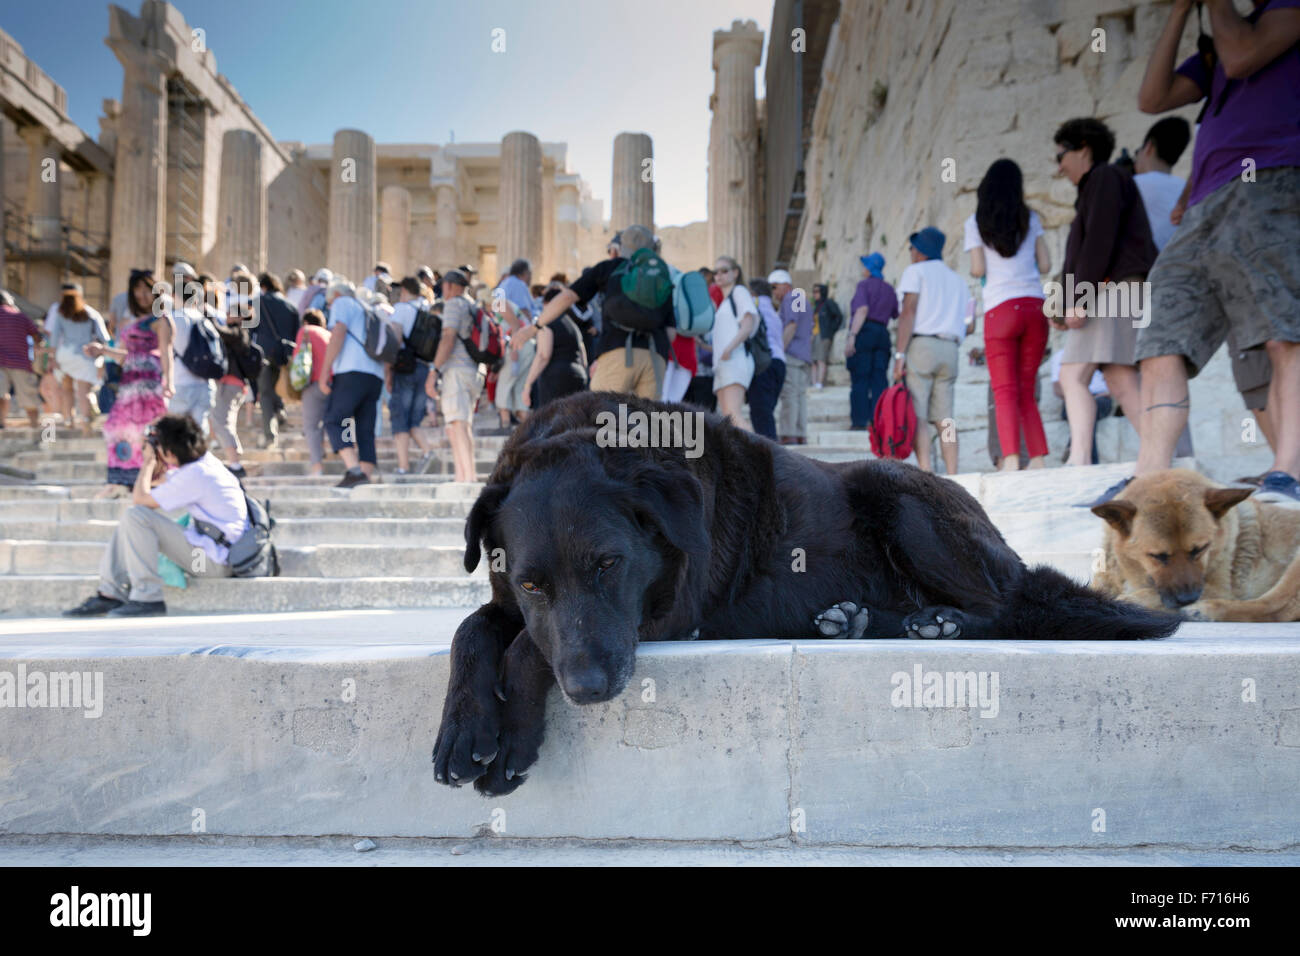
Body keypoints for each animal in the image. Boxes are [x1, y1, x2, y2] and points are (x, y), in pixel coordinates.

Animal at [428, 392, 1180, 796]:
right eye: (532, 581)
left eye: (610, 564)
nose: (584, 690)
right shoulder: (513, 599)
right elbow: (476, 629)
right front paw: (465, 729)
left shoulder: (661, 614)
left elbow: (527, 648)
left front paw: (512, 738)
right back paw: (855, 620)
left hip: (899, 494)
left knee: (1003, 610)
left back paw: (938, 622)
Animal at [1092, 468, 1300, 621]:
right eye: (1158, 556)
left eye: (1200, 549)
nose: (1188, 599)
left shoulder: (1219, 589)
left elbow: (1149, 594)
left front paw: (1135, 600)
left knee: (1276, 608)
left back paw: (1207, 610)